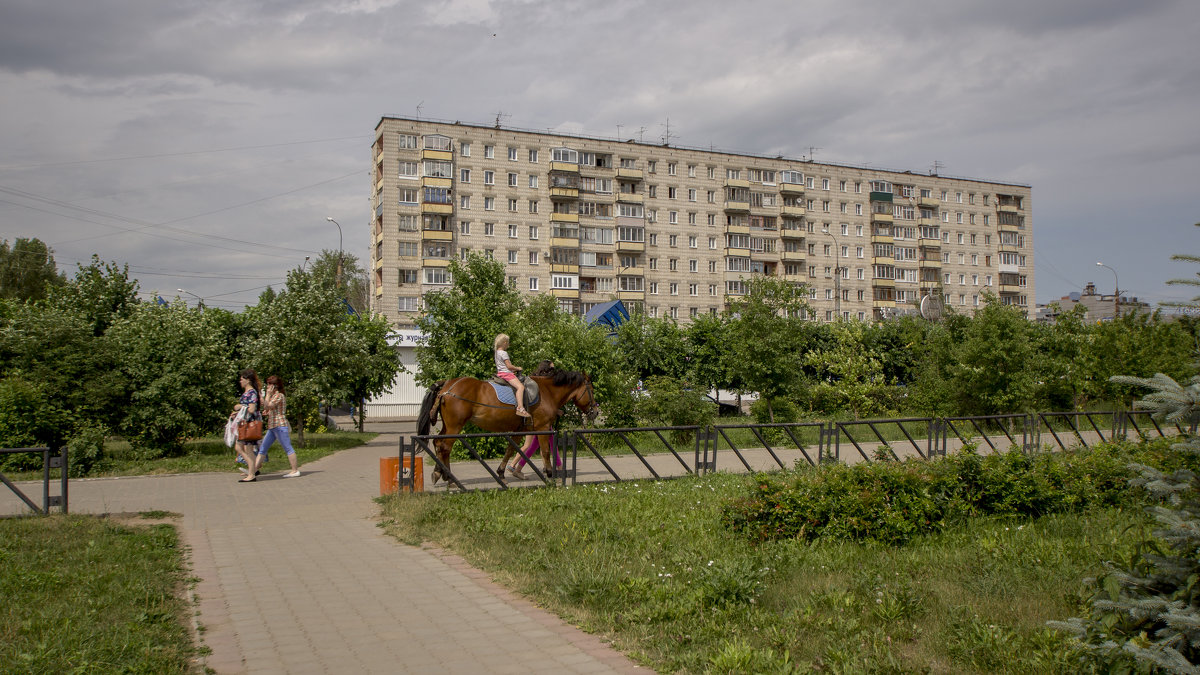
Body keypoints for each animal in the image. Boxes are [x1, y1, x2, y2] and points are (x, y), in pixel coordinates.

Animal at [415, 367, 597, 482]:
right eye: (592, 390)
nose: (595, 411)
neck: (547, 391)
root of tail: (446, 386)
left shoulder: (519, 430)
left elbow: (511, 450)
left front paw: (501, 471)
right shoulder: (543, 427)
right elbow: (545, 451)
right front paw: (550, 473)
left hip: (448, 426)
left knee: (438, 443)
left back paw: (440, 473)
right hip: (455, 426)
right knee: (445, 447)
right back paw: (447, 477)